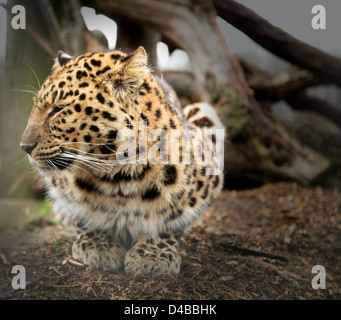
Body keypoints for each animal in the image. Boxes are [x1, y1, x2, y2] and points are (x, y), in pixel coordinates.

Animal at [20, 46, 223, 276]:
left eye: (59, 109)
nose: (24, 146)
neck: (118, 178)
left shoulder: (209, 173)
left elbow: (171, 220)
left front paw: (153, 254)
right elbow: (83, 214)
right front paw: (98, 244)